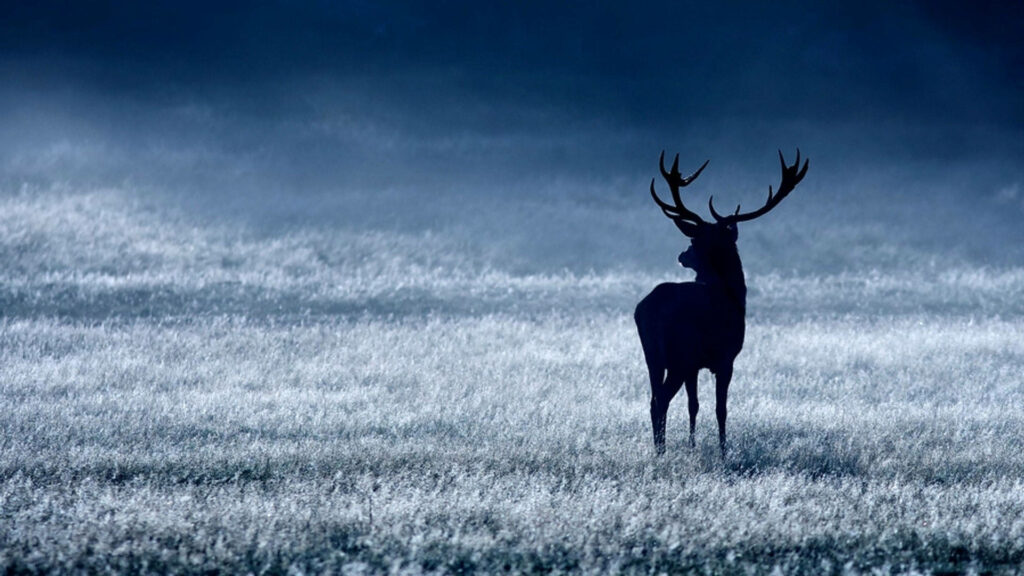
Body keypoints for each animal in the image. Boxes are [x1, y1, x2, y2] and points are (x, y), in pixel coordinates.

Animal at [635, 149, 808, 456]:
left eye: (695, 240)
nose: (682, 255)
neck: (732, 294)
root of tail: (646, 309)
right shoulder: (726, 358)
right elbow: (721, 409)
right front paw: (724, 451)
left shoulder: (695, 365)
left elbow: (693, 405)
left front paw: (692, 445)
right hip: (678, 354)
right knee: (661, 400)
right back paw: (661, 452)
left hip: (652, 355)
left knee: (653, 398)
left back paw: (659, 448)